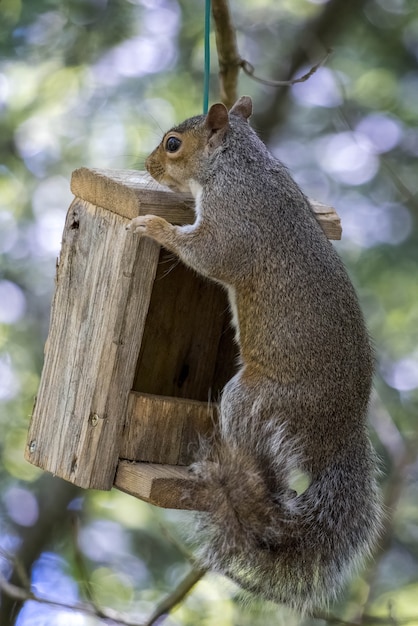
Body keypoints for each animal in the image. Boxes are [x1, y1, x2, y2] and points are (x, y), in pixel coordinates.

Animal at [126, 96, 382, 608]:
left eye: (173, 144)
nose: (147, 165)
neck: (240, 165)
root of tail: (340, 436)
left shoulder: (233, 219)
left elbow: (208, 254)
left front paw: (156, 225)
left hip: (253, 400)